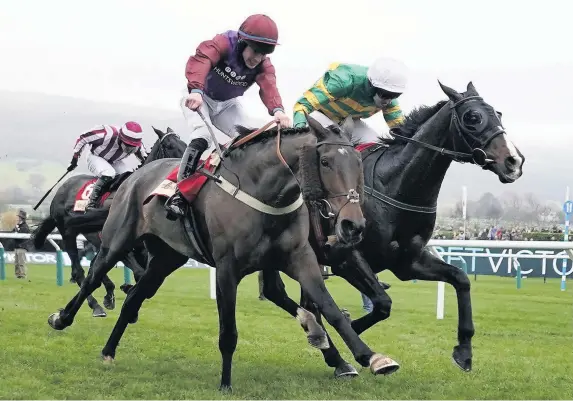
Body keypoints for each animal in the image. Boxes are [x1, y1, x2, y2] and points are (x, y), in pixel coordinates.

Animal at [31, 127, 185, 316]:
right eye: (170, 146)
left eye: (184, 143)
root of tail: (60, 190)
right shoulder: (119, 243)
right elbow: (138, 273)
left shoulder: (141, 249)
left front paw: (122, 290)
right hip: (68, 233)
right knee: (78, 271)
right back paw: (95, 305)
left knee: (91, 266)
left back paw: (107, 294)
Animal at [260, 80, 524, 376]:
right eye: (473, 117)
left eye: (498, 114)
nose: (514, 162)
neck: (394, 186)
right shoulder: (344, 257)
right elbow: (383, 304)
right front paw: (357, 335)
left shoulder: (407, 262)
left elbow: (461, 279)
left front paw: (464, 351)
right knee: (280, 293)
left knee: (284, 294)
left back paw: (333, 354)